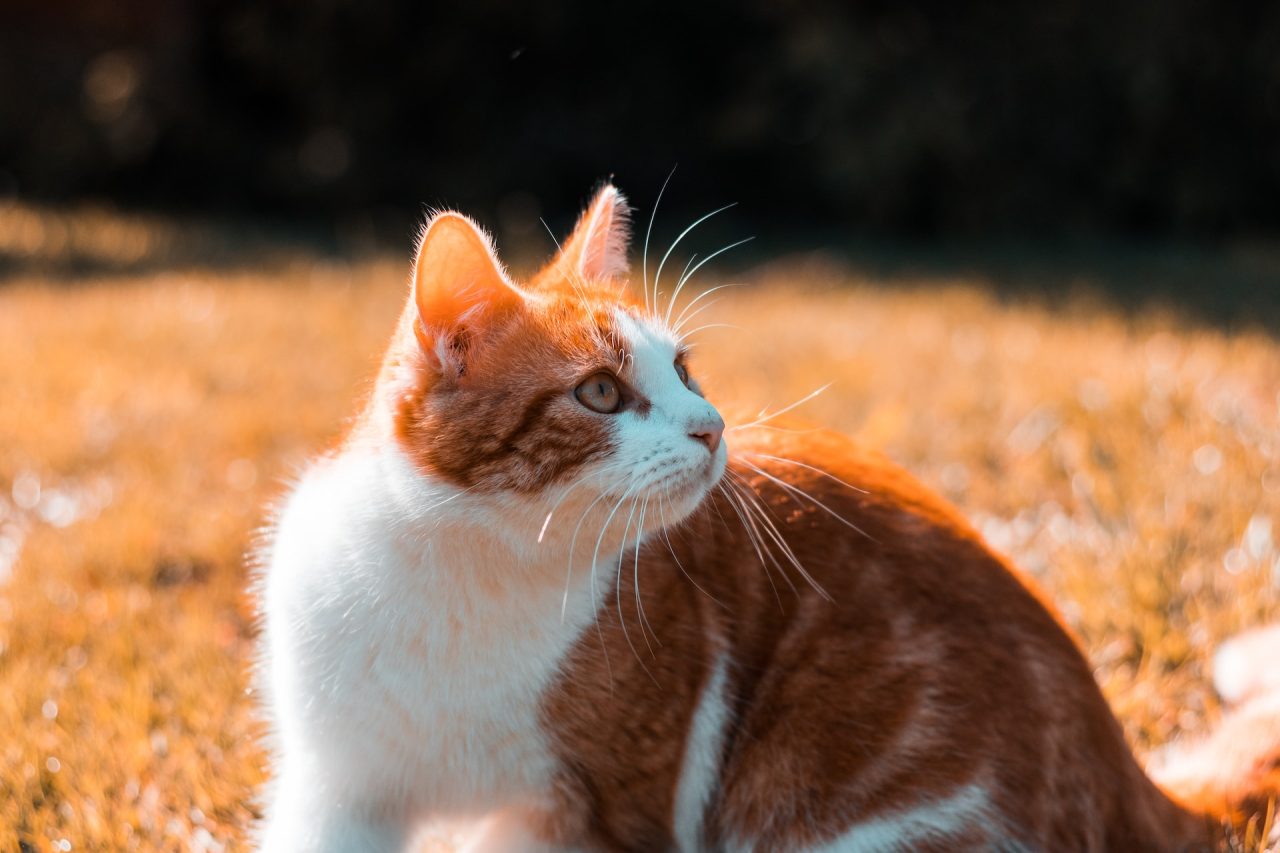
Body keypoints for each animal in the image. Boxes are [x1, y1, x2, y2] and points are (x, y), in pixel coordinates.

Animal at [254, 183, 1274, 845]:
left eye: (684, 371)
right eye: (599, 392)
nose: (712, 428)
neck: (466, 564)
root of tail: (1126, 764)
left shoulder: (596, 808)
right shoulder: (340, 792)